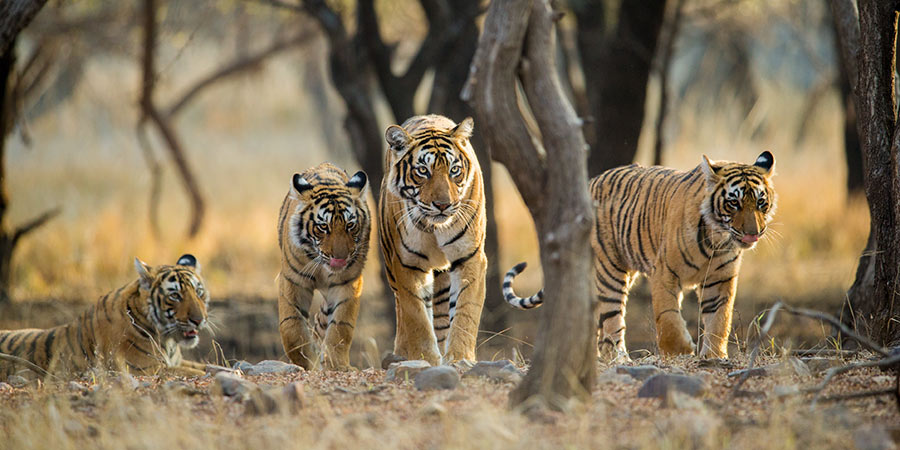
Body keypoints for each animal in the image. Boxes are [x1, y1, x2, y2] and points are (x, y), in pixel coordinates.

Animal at [0, 255, 210, 379]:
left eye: (199, 292)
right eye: (175, 296)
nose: (199, 320)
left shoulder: (176, 361)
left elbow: (207, 366)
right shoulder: (147, 369)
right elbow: (196, 372)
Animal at [277, 162, 370, 370]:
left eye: (350, 225)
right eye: (323, 227)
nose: (341, 258)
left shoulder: (348, 283)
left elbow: (341, 326)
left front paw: (336, 365)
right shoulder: (293, 281)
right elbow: (291, 327)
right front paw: (306, 362)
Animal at [380, 114, 487, 365]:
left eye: (454, 170)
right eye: (422, 171)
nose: (443, 205)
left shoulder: (470, 257)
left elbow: (465, 311)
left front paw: (459, 357)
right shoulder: (407, 264)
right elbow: (416, 316)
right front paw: (425, 358)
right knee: (403, 311)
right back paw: (401, 353)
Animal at [503, 152, 777, 360]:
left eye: (760, 203)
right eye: (734, 203)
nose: (753, 233)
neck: (717, 240)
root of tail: (590, 181)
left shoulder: (720, 280)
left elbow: (720, 319)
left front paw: (714, 356)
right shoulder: (664, 273)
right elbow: (667, 317)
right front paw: (680, 351)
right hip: (610, 270)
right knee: (612, 320)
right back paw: (619, 359)